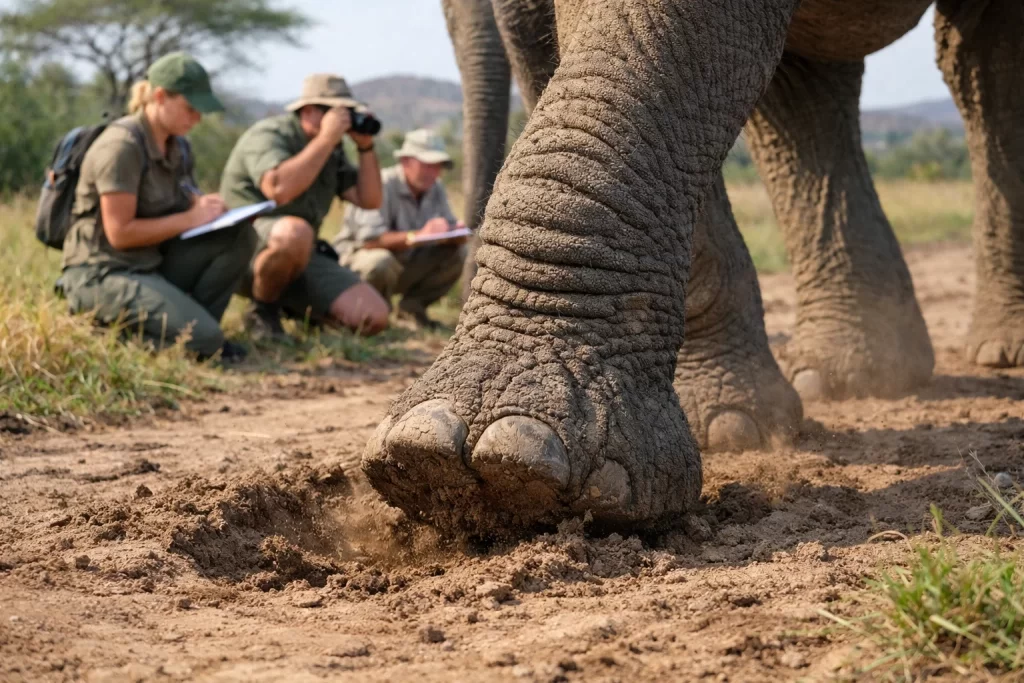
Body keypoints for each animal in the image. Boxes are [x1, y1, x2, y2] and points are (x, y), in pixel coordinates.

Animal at [364, 0, 1023, 535]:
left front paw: (506, 453)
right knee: (807, 83)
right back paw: (858, 376)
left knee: (980, 66)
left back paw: (996, 352)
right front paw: (436, 450)